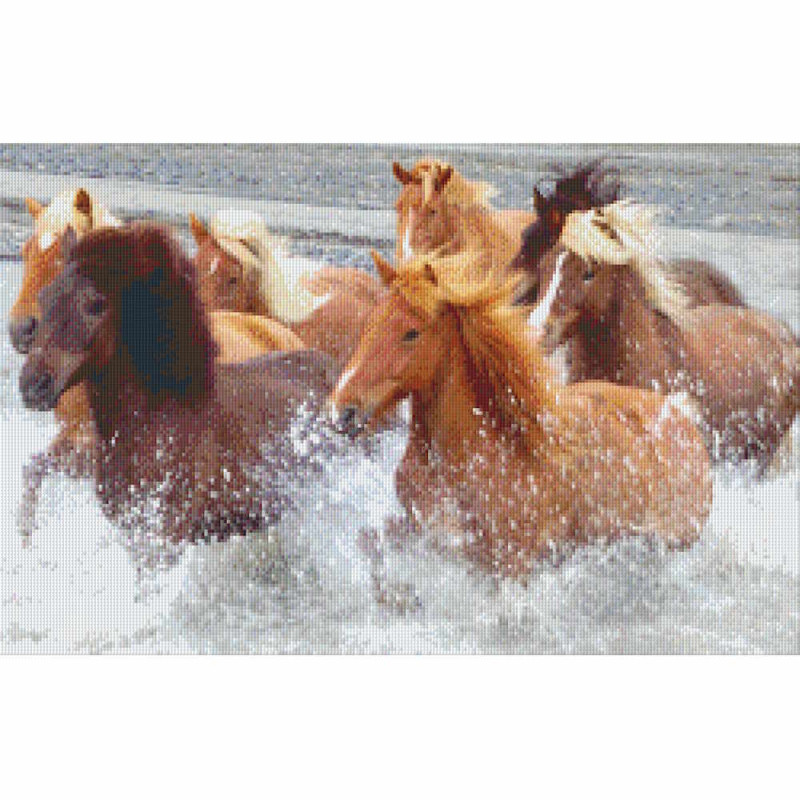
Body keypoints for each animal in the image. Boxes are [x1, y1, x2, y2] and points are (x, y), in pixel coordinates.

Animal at [329, 250, 712, 576]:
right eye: (368, 323)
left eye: (411, 333)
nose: (341, 411)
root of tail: (680, 416)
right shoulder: (423, 532)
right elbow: (372, 544)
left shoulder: (506, 563)